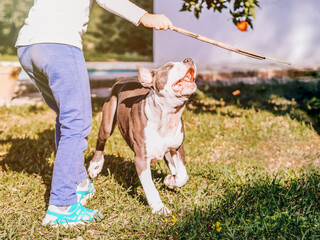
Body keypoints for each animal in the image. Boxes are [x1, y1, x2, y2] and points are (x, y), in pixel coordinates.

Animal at [88, 57, 198, 214]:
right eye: (168, 67)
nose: (188, 59)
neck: (168, 116)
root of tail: (123, 79)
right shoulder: (141, 159)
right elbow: (150, 188)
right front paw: (159, 208)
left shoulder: (177, 147)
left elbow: (183, 175)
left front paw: (171, 181)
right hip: (108, 120)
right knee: (101, 140)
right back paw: (95, 166)